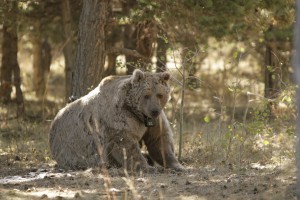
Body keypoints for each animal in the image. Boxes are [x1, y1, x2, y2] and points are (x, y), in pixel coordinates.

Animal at [49, 69, 183, 171]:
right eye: (146, 95)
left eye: (160, 94)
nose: (154, 110)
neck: (137, 112)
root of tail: (54, 121)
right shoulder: (120, 119)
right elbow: (126, 144)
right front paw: (146, 166)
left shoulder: (154, 121)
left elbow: (160, 140)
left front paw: (177, 165)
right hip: (70, 149)